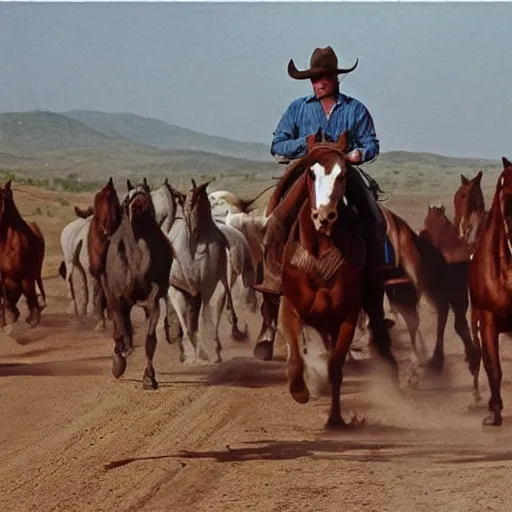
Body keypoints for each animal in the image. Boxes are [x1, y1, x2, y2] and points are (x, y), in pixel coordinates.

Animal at [101, 180, 175, 388]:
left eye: (147, 193)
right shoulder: (118, 301)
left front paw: (149, 378)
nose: (139, 201)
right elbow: (121, 333)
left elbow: (149, 340)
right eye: (126, 199)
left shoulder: (153, 301)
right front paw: (118, 364)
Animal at [274, 132, 398, 428]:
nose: (324, 215)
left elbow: (336, 367)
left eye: (343, 174)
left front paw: (335, 418)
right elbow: (295, 360)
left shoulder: (346, 317)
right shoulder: (290, 308)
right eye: (310, 173)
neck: (320, 250)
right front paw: (300, 391)